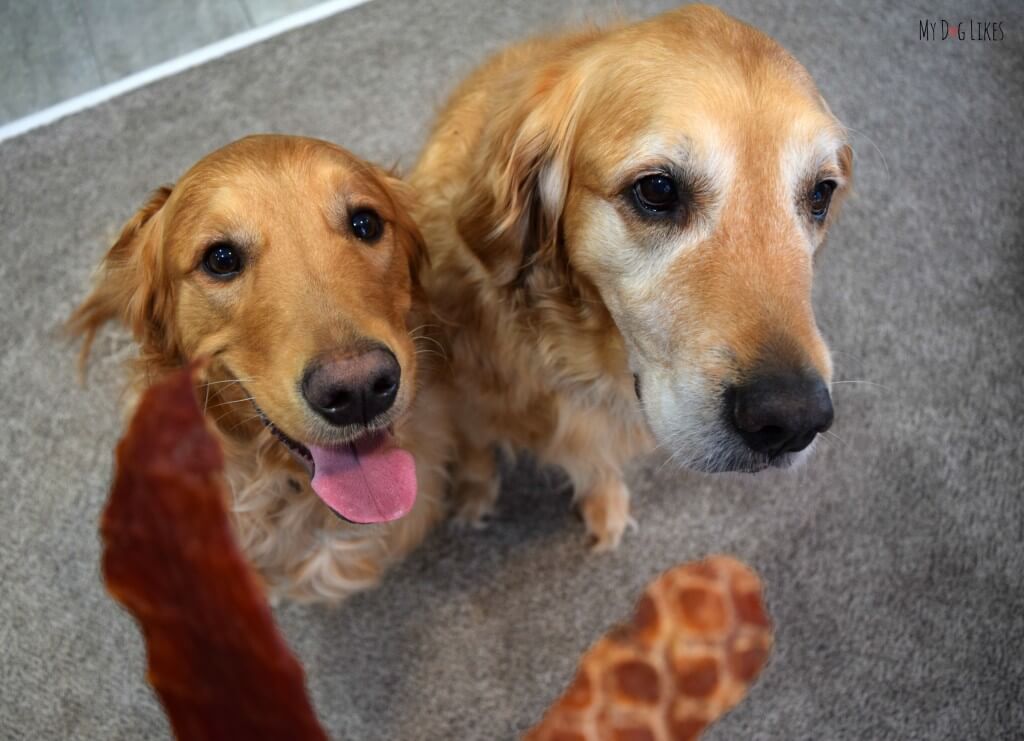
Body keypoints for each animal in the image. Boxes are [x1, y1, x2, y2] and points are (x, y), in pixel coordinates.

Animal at [411, 5, 851, 548]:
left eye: (821, 194)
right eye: (658, 190)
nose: (792, 419)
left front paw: (605, 503)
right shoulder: (464, 390)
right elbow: (475, 444)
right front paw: (472, 496)